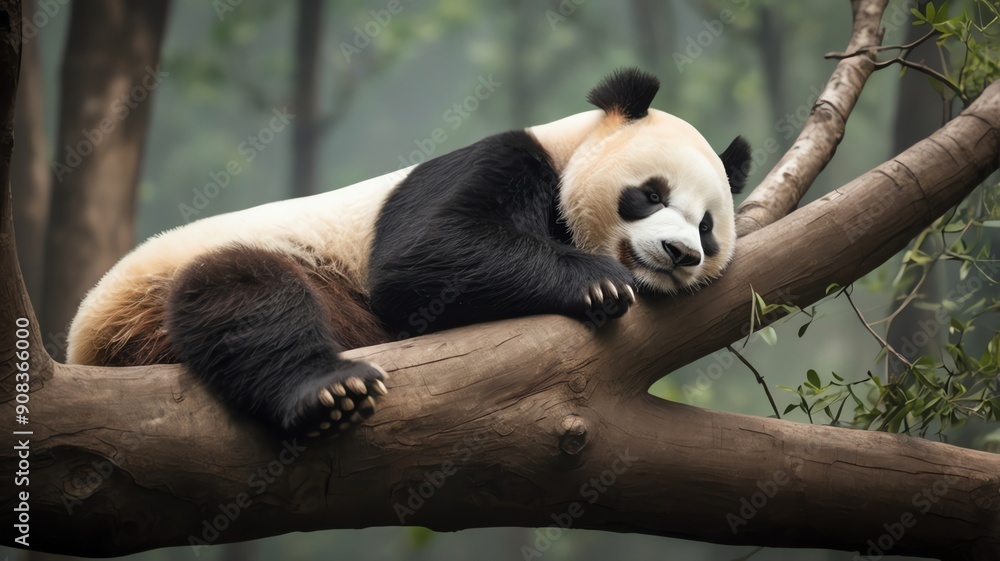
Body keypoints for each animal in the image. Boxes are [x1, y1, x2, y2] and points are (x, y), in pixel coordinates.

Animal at [66, 68, 752, 438]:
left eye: (707, 227)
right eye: (651, 193)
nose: (679, 253)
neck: (567, 151)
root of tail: (89, 344)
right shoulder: (497, 161)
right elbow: (422, 259)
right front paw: (597, 281)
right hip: (166, 291)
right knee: (242, 295)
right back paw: (328, 389)